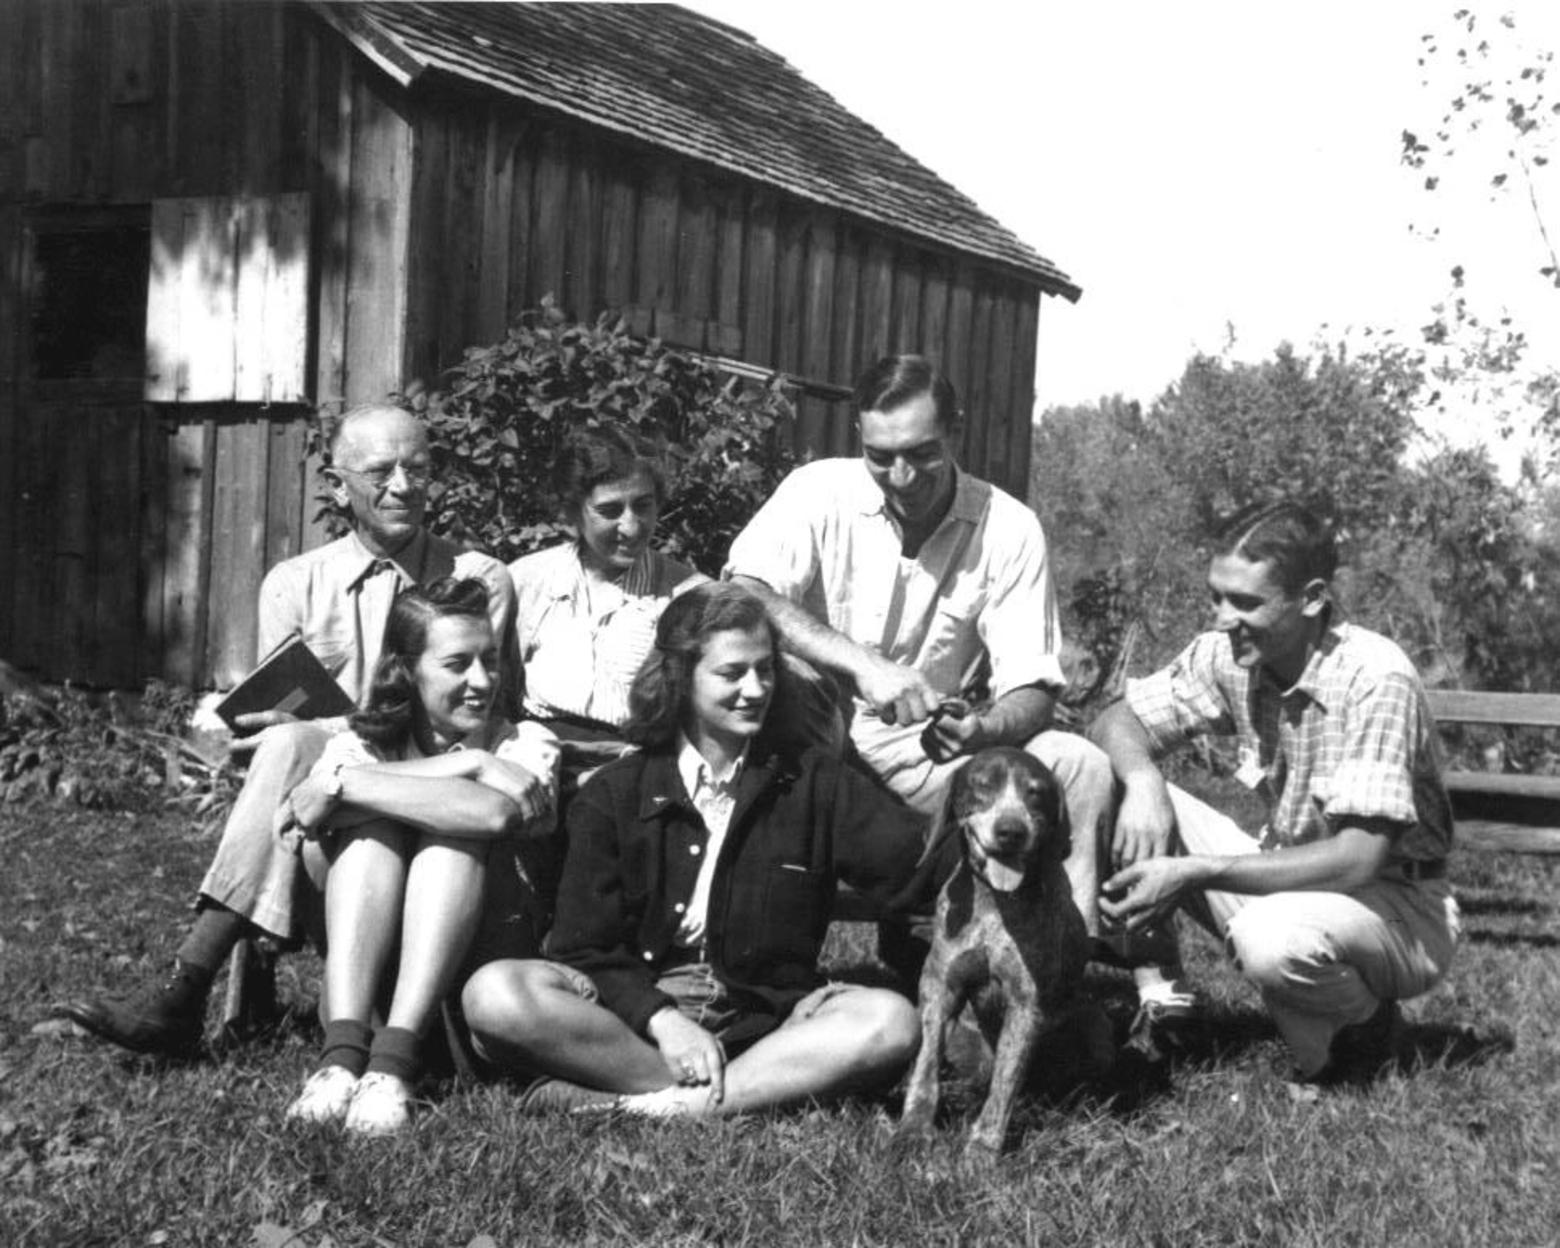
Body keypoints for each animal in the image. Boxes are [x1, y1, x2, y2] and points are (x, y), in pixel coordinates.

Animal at [898, 742, 1104, 1160]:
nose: (1011, 831)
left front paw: (982, 1148)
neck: (996, 901)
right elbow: (926, 1068)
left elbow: (1004, 1086)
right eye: (982, 785)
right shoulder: (939, 989)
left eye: (1036, 792)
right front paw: (914, 1128)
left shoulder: (1026, 1006)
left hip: (1094, 1024)